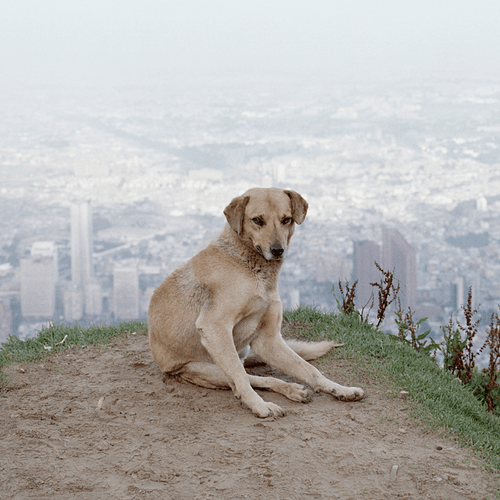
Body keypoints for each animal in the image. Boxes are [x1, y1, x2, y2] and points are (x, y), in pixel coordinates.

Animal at [148, 188, 364, 418]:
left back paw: (294, 389)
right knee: (246, 378)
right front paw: (258, 406)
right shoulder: (214, 327)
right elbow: (241, 379)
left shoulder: (267, 341)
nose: (278, 250)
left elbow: (309, 370)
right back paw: (276, 397)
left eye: (286, 219)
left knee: (262, 378)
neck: (249, 265)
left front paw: (341, 390)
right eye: (257, 220)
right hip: (211, 369)